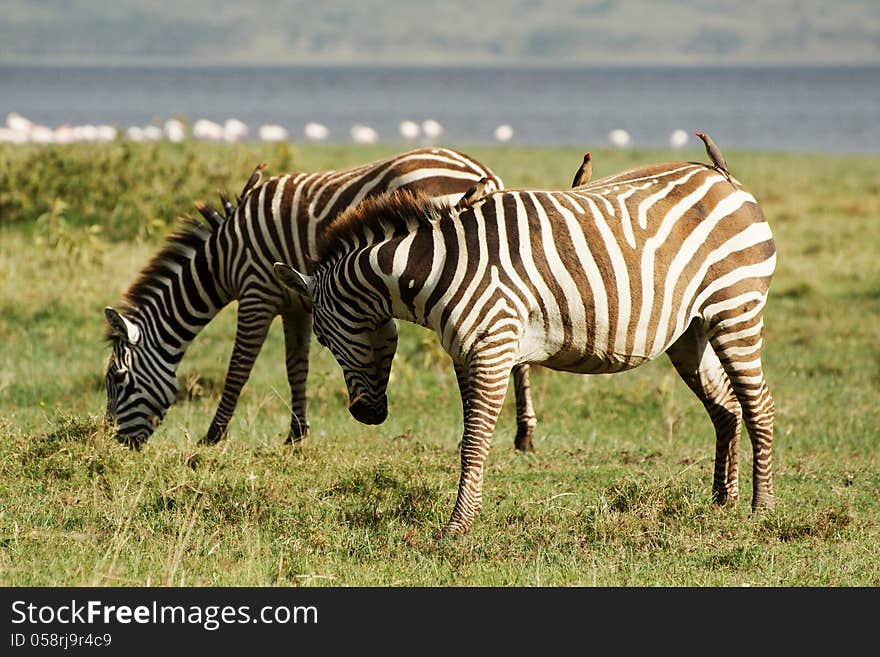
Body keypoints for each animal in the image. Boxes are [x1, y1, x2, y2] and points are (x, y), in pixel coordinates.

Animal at [100, 146, 540, 448]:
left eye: (117, 379)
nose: (111, 443)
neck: (222, 257)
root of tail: (483, 172)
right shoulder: (295, 303)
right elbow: (297, 366)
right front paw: (296, 435)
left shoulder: (256, 292)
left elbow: (239, 368)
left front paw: (213, 436)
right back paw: (524, 434)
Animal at [276, 160, 776, 540]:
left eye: (323, 339)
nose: (366, 415)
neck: (432, 268)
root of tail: (723, 177)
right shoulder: (464, 355)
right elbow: (470, 438)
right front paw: (468, 516)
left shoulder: (492, 346)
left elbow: (474, 440)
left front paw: (456, 527)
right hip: (691, 332)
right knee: (726, 408)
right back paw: (722, 501)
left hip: (736, 310)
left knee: (759, 406)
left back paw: (761, 508)